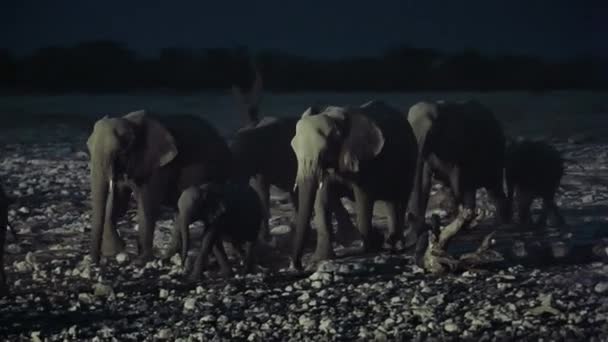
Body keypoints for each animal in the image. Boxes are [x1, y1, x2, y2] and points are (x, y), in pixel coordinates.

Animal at [88, 109, 233, 264]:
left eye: (120, 152)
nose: (96, 262)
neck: (130, 122)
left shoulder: (158, 164)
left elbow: (147, 205)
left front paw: (142, 260)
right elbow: (119, 203)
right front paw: (114, 250)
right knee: (180, 213)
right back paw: (169, 256)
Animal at [290, 100, 418, 272]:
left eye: (324, 151)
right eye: (294, 149)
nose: (299, 266)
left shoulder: (364, 158)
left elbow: (363, 197)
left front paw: (367, 249)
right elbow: (321, 199)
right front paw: (321, 258)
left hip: (410, 161)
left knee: (400, 199)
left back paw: (395, 244)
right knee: (390, 203)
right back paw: (390, 242)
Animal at [406, 99, 510, 248]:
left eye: (431, 131)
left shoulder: (455, 145)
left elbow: (457, 183)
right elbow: (424, 182)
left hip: (497, 153)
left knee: (492, 189)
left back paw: (502, 224)